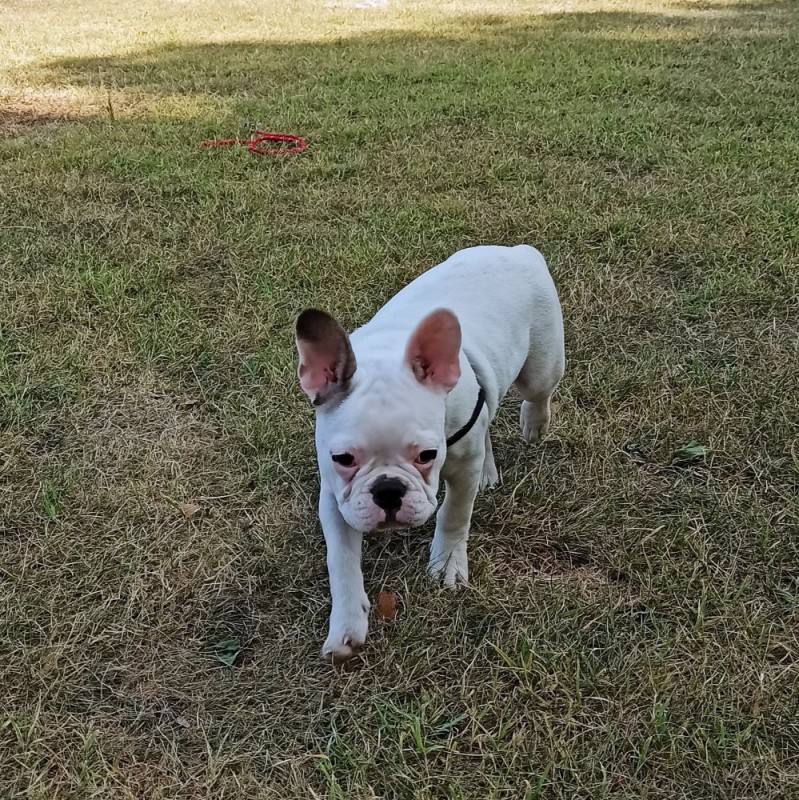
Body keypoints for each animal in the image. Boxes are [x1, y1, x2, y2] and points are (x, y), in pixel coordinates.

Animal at [296, 245, 564, 664]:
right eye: (343, 459)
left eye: (427, 455)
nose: (388, 490)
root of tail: (516, 250)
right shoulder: (336, 497)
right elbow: (340, 559)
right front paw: (346, 624)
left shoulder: (460, 468)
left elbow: (454, 515)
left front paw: (448, 564)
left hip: (542, 365)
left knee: (538, 392)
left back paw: (534, 423)